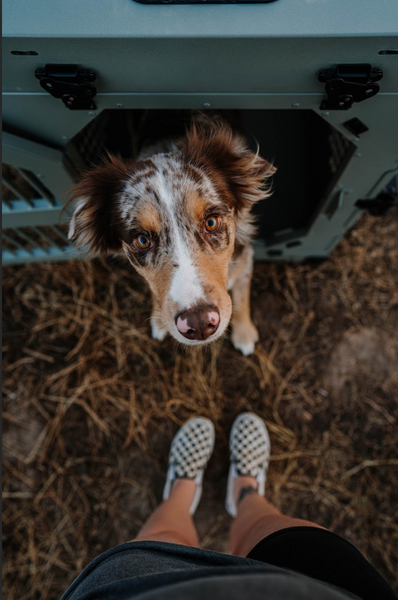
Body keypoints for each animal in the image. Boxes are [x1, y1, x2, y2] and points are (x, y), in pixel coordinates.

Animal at [67, 115, 276, 354]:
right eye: (142, 240)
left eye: (211, 222)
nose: (199, 323)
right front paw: (159, 321)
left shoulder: (245, 259)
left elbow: (242, 294)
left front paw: (244, 333)